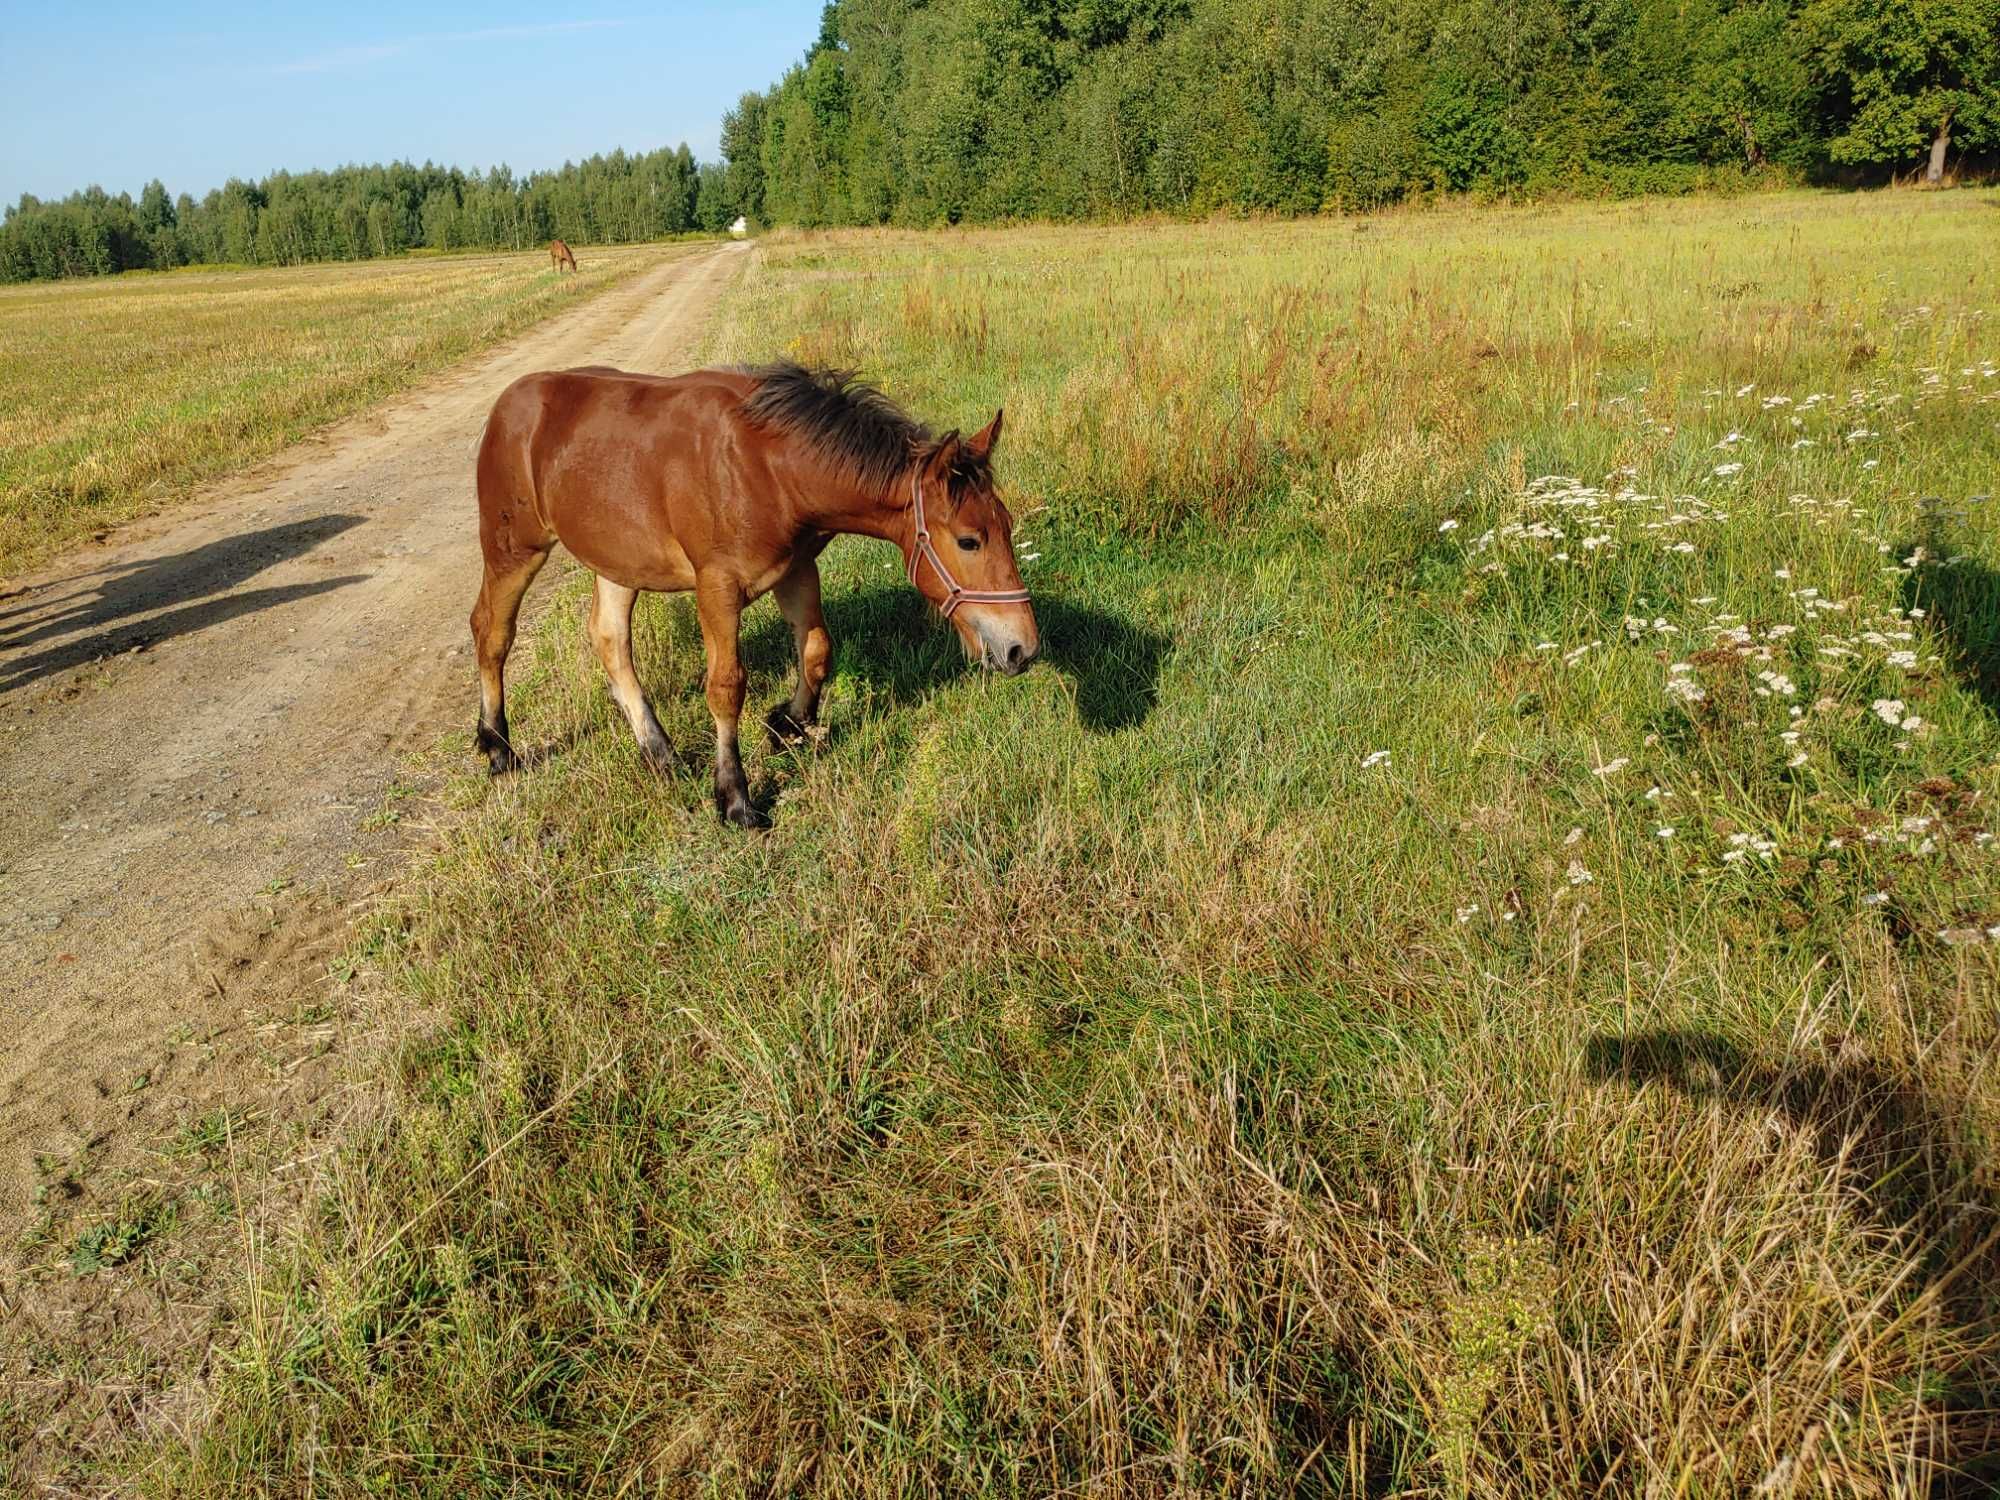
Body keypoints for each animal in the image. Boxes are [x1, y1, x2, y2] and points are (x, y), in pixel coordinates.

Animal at [462, 368, 1040, 836]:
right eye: (969, 540)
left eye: (1006, 525)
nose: (1022, 649)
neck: (766, 468)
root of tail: (508, 403)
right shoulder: (718, 588)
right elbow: (726, 687)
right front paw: (736, 799)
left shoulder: (797, 570)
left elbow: (817, 652)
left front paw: (786, 724)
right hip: (514, 549)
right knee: (492, 630)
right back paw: (497, 746)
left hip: (618, 559)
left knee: (609, 639)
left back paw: (661, 753)